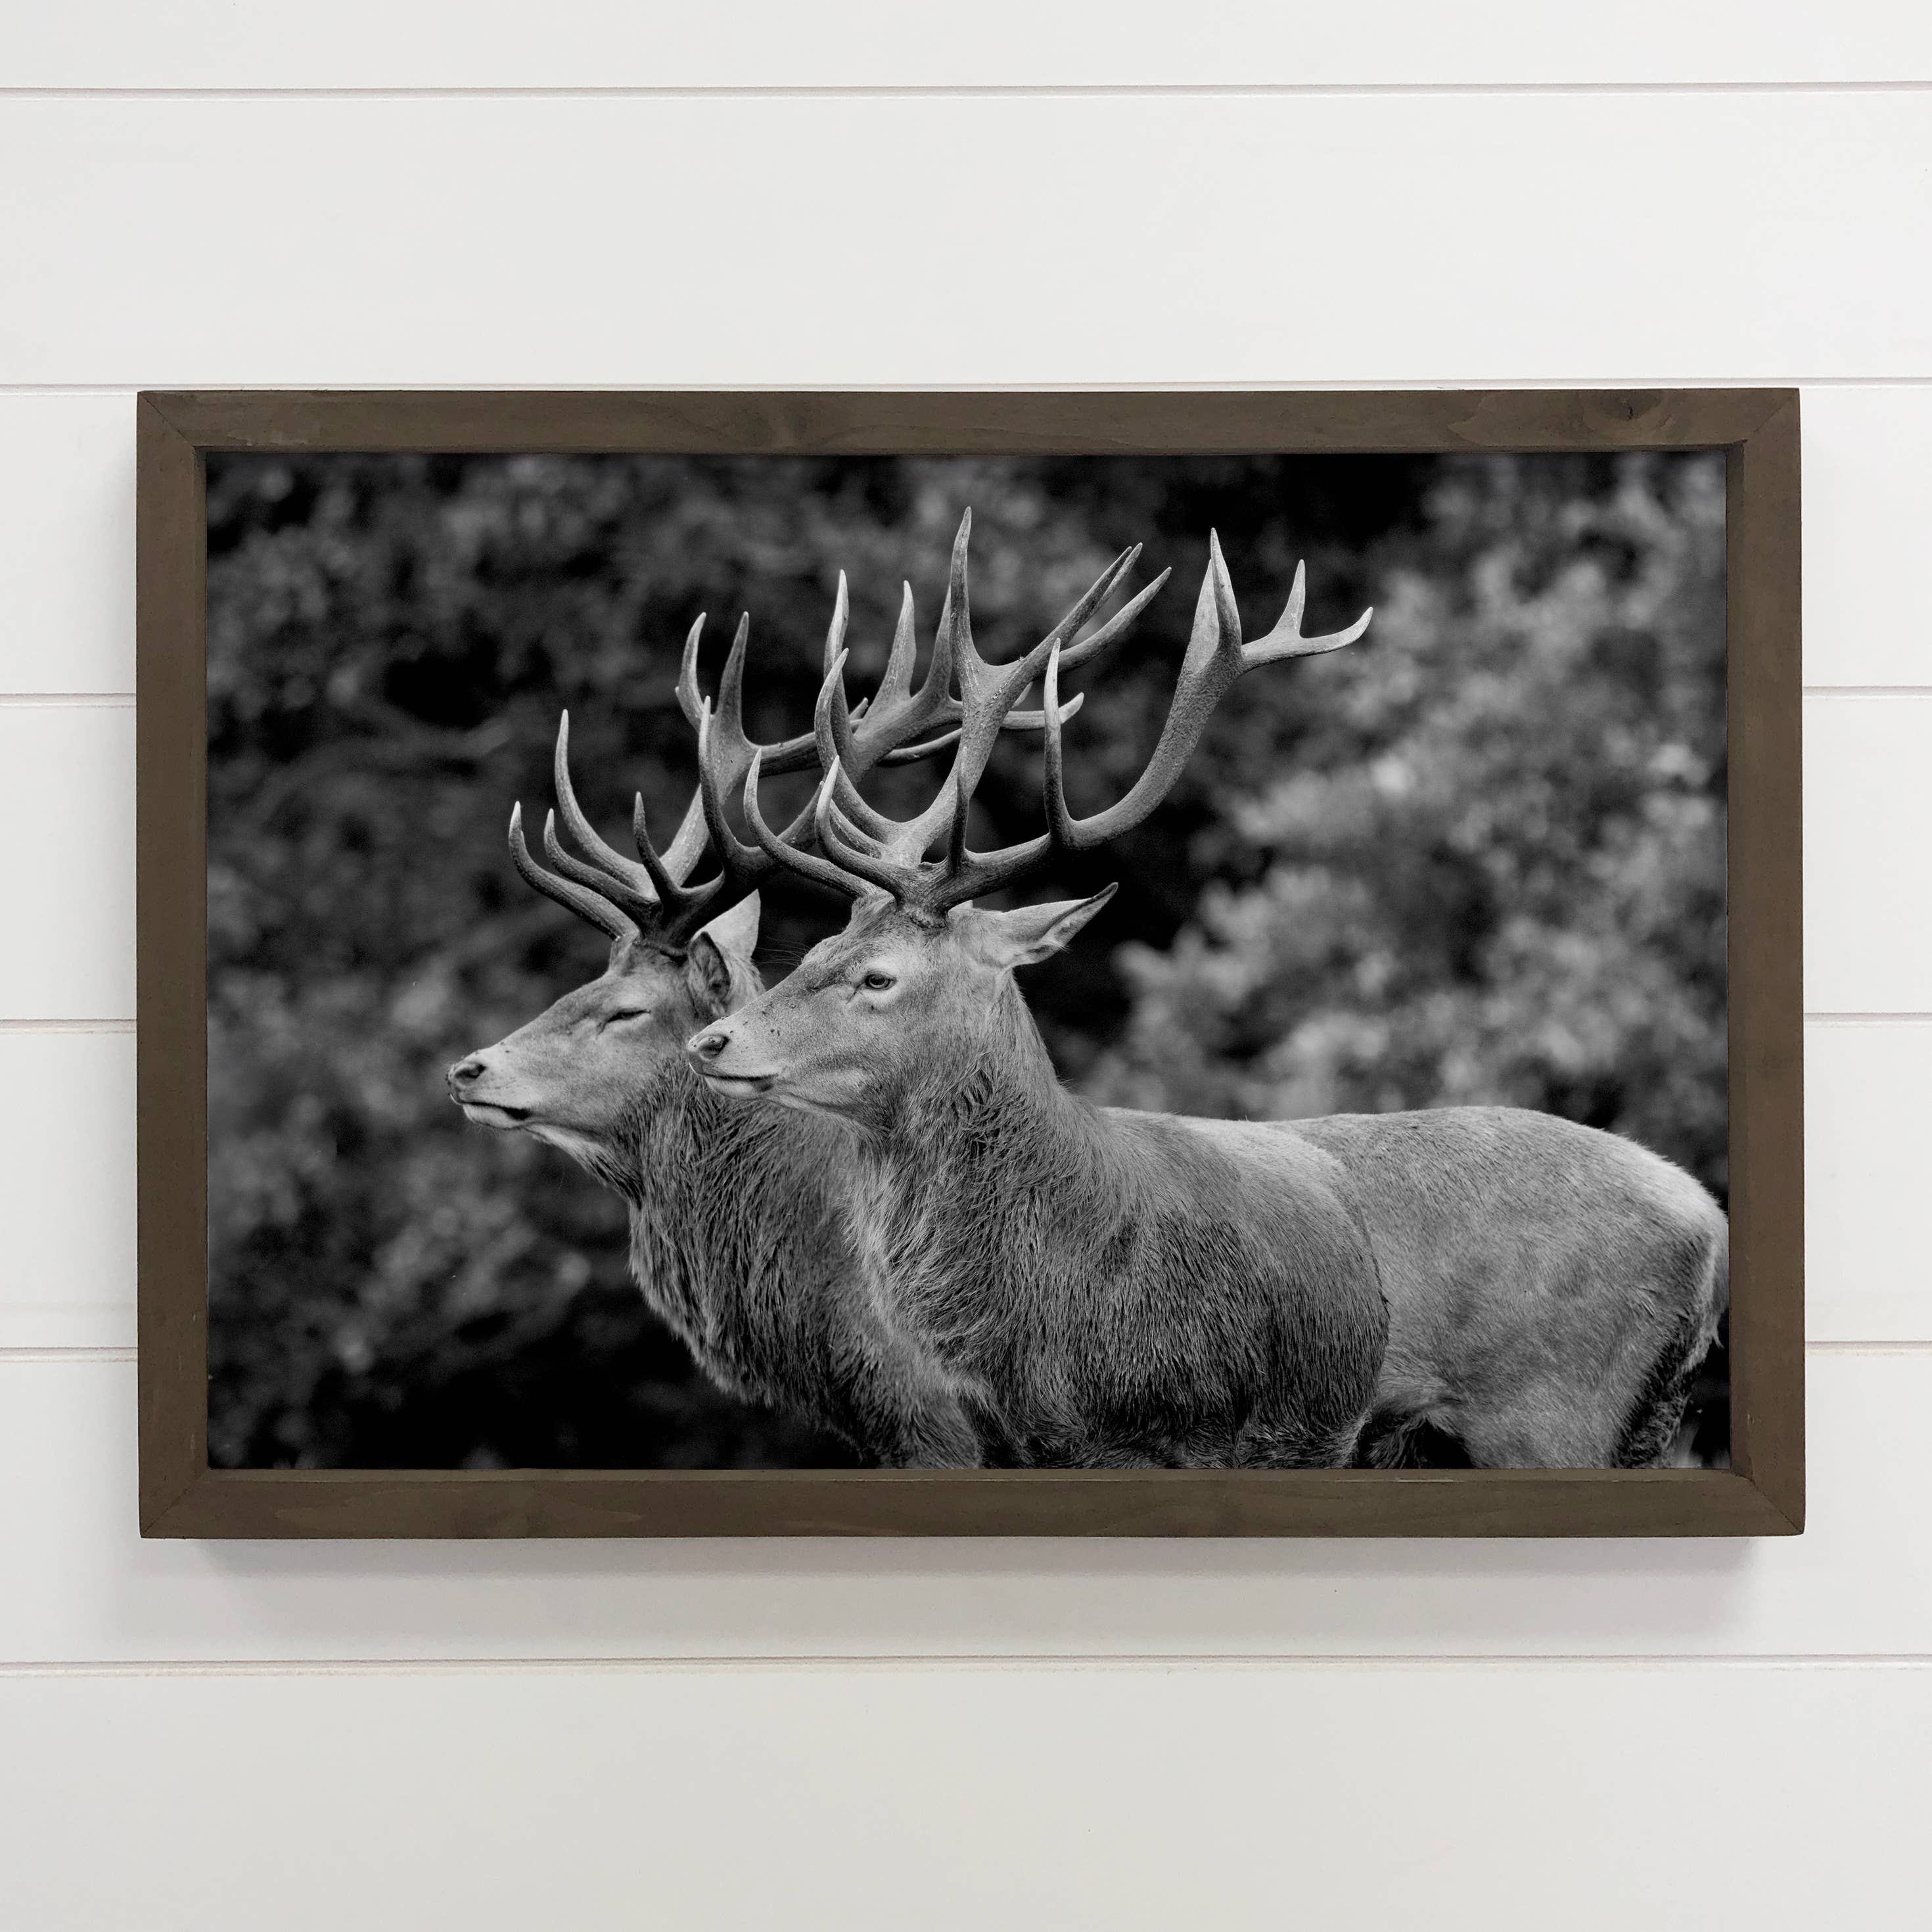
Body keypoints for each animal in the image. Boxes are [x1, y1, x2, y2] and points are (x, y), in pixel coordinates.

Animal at [687, 514, 1728, 1469]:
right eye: (818, 945)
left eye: (878, 976)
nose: (712, 1041)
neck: (1059, 1315)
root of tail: (1710, 1226)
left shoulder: (1197, 1429)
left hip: (1553, 1413)